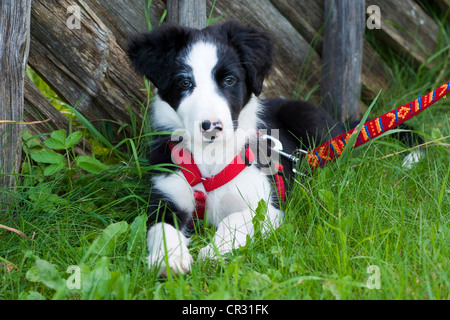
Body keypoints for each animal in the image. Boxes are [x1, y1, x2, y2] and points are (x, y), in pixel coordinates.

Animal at [126, 20, 342, 276]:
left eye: (229, 80)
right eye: (185, 83)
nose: (211, 127)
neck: (210, 157)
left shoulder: (267, 206)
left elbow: (236, 220)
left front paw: (213, 252)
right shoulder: (166, 198)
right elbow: (162, 229)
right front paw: (170, 259)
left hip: (307, 117)